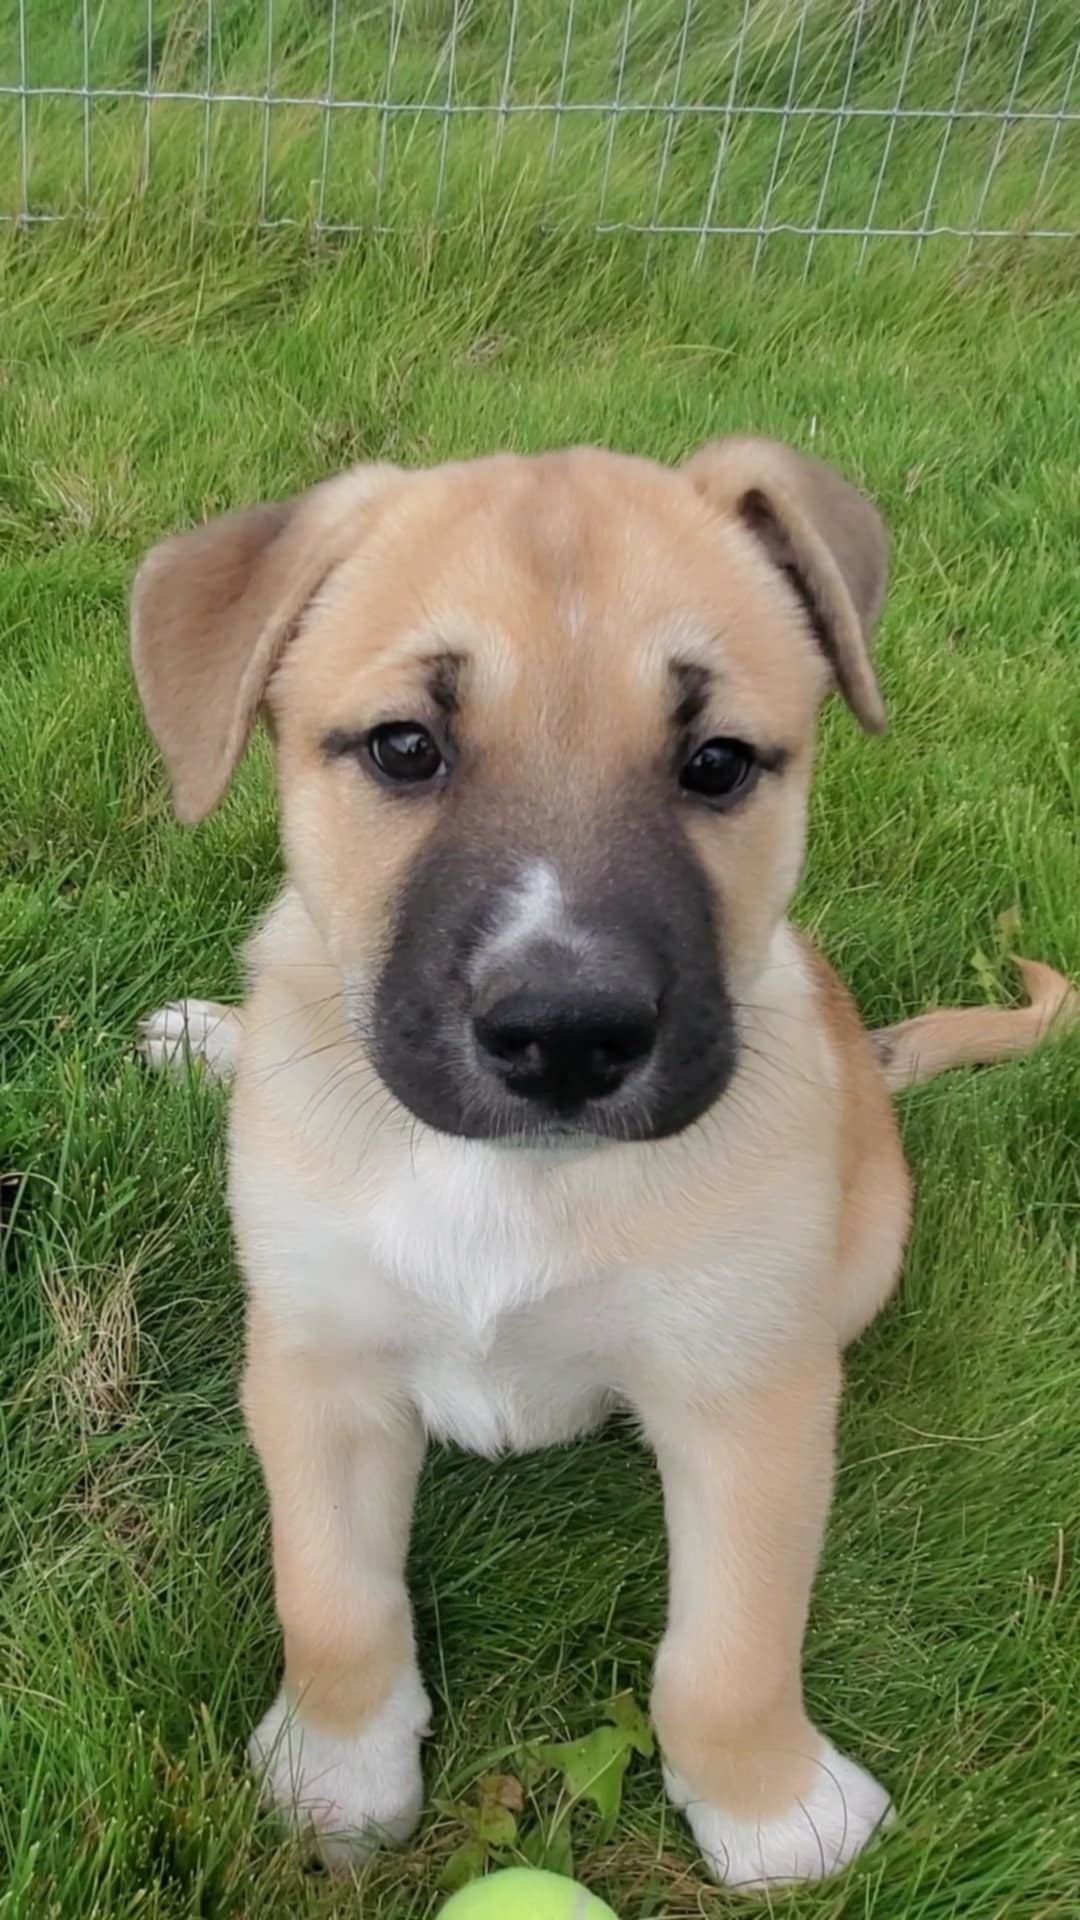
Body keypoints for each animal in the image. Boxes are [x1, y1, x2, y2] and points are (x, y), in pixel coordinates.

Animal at [130, 439, 1068, 1889]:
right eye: (404, 747)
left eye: (718, 762)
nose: (567, 1037)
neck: (516, 1177)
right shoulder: (311, 1362)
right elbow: (332, 1598)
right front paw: (337, 1772)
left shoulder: (743, 1397)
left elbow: (728, 1651)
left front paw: (769, 1810)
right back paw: (216, 1039)